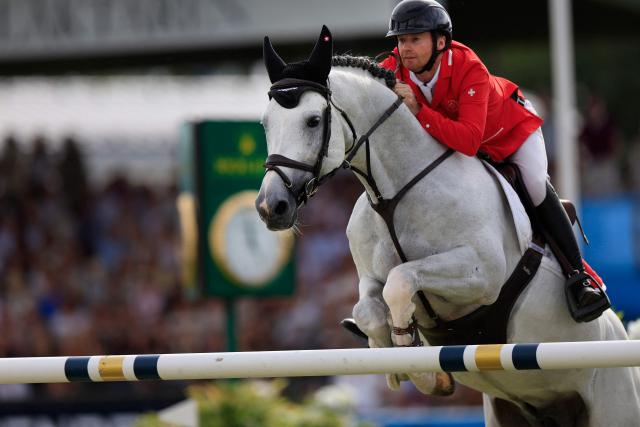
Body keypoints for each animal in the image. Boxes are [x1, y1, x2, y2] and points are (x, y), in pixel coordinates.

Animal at [255, 26, 640, 426]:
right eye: (265, 123)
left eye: (313, 120)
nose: (271, 207)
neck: (394, 196)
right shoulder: (368, 278)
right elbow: (369, 308)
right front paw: (401, 359)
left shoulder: (480, 275)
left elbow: (402, 280)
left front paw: (416, 359)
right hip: (509, 409)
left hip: (612, 400)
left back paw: (586, 293)